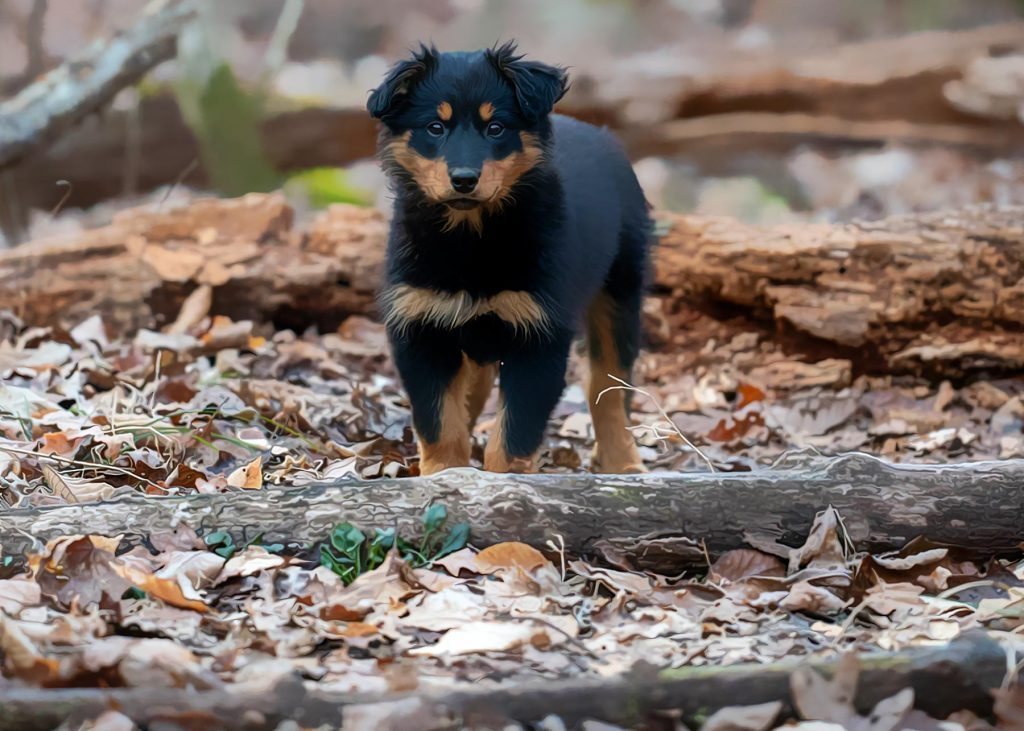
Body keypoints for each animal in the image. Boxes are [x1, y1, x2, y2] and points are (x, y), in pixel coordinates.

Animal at [372, 41, 651, 473]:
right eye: (435, 127)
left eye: (495, 128)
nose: (464, 180)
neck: (471, 236)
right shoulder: (422, 325)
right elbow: (440, 423)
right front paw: (444, 474)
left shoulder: (540, 335)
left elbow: (514, 434)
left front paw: (503, 480)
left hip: (620, 291)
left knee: (607, 387)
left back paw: (623, 462)